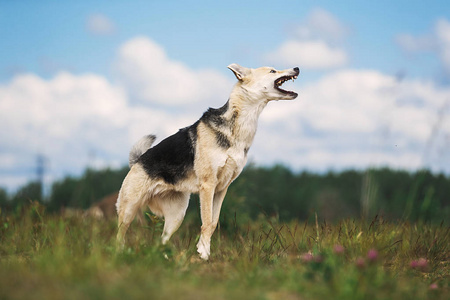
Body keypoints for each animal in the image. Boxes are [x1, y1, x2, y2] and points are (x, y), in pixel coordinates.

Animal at [116, 63, 298, 260]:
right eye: (272, 71)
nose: (297, 68)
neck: (239, 125)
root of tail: (136, 161)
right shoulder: (208, 185)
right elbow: (207, 221)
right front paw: (203, 253)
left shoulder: (222, 189)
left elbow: (213, 223)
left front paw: (203, 252)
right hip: (129, 210)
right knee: (119, 236)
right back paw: (120, 254)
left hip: (176, 216)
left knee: (161, 240)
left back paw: (164, 258)